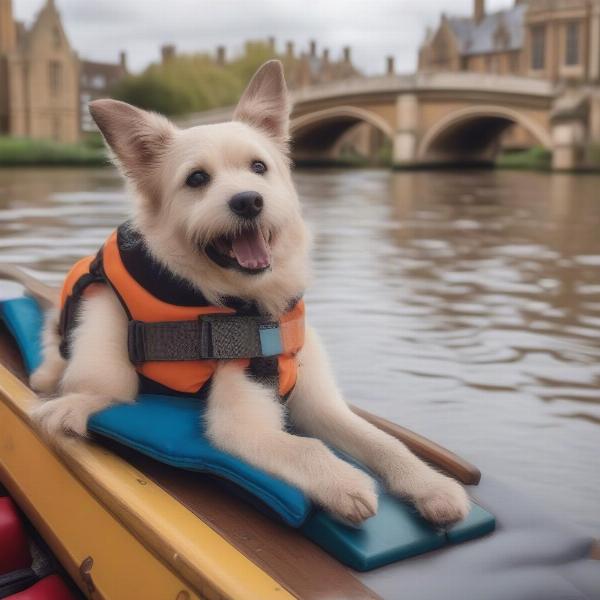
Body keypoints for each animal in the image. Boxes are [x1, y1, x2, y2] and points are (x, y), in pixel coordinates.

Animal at [30, 58, 472, 524]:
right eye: (197, 179)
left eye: (258, 167)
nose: (248, 201)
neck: (258, 309)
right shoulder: (240, 422)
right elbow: (306, 448)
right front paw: (345, 483)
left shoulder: (320, 404)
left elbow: (382, 440)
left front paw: (429, 484)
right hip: (101, 324)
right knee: (93, 387)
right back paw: (69, 407)